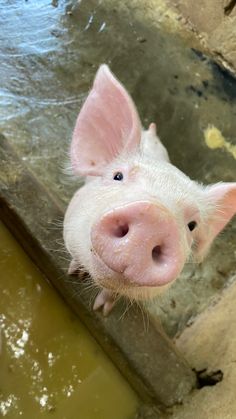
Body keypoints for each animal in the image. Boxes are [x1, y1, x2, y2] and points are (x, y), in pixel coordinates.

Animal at [63, 65, 236, 316]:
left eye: (192, 225)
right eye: (118, 176)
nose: (155, 217)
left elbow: (113, 293)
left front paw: (102, 311)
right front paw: (73, 274)